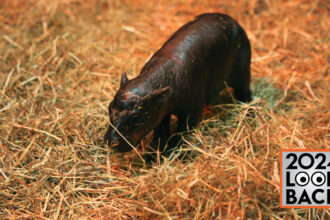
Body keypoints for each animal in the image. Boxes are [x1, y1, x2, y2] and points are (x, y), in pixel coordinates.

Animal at [104, 12, 251, 155]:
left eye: (136, 117)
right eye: (109, 107)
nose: (111, 142)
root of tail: (233, 21)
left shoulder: (193, 109)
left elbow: (182, 131)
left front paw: (174, 152)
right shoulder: (161, 110)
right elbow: (160, 133)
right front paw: (152, 155)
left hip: (243, 73)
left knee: (245, 92)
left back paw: (248, 111)